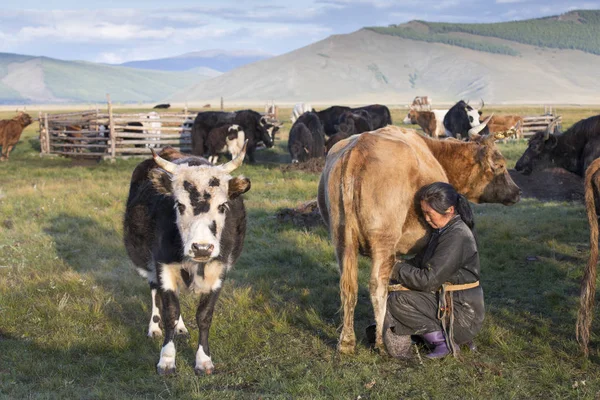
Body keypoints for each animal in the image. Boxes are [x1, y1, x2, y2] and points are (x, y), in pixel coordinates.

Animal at [123, 145, 250, 376]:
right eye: (179, 205)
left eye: (223, 206)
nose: (202, 248)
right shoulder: (163, 266)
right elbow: (170, 313)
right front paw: (166, 359)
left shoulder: (219, 271)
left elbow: (204, 315)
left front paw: (203, 360)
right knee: (155, 292)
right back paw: (154, 327)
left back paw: (181, 329)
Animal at [318, 122, 520, 354]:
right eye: (501, 165)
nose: (517, 192)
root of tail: (358, 148)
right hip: (382, 239)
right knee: (377, 285)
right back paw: (381, 342)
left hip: (342, 240)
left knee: (349, 287)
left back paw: (346, 342)